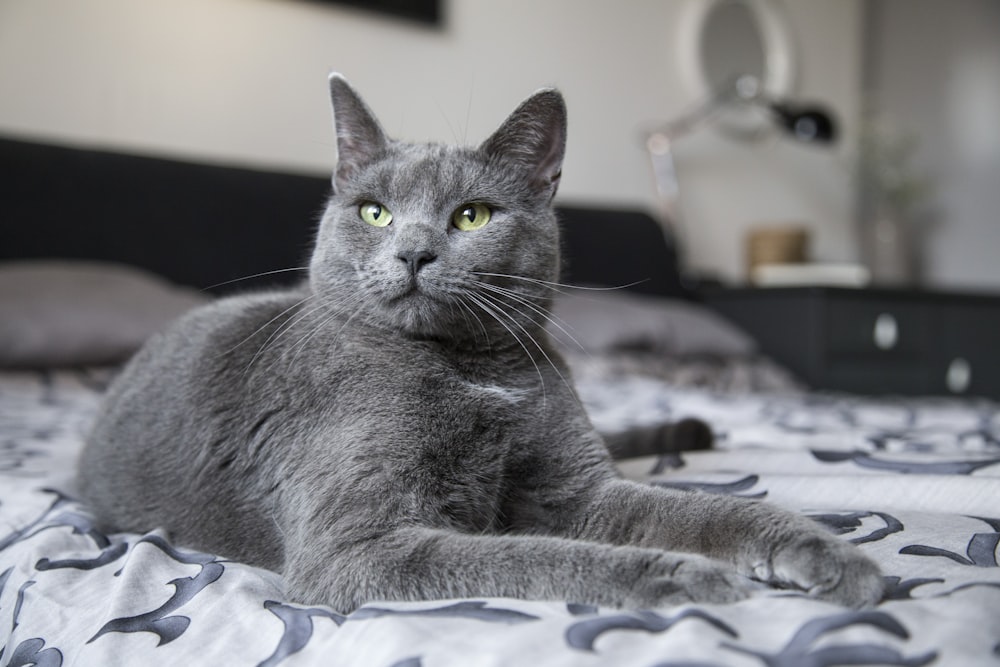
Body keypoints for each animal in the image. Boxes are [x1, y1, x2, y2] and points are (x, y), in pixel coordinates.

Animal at [78, 75, 884, 612]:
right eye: (374, 212)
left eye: (472, 215)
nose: (413, 251)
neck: (473, 370)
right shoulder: (354, 550)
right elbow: (535, 556)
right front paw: (680, 575)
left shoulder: (577, 487)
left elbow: (709, 512)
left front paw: (829, 556)